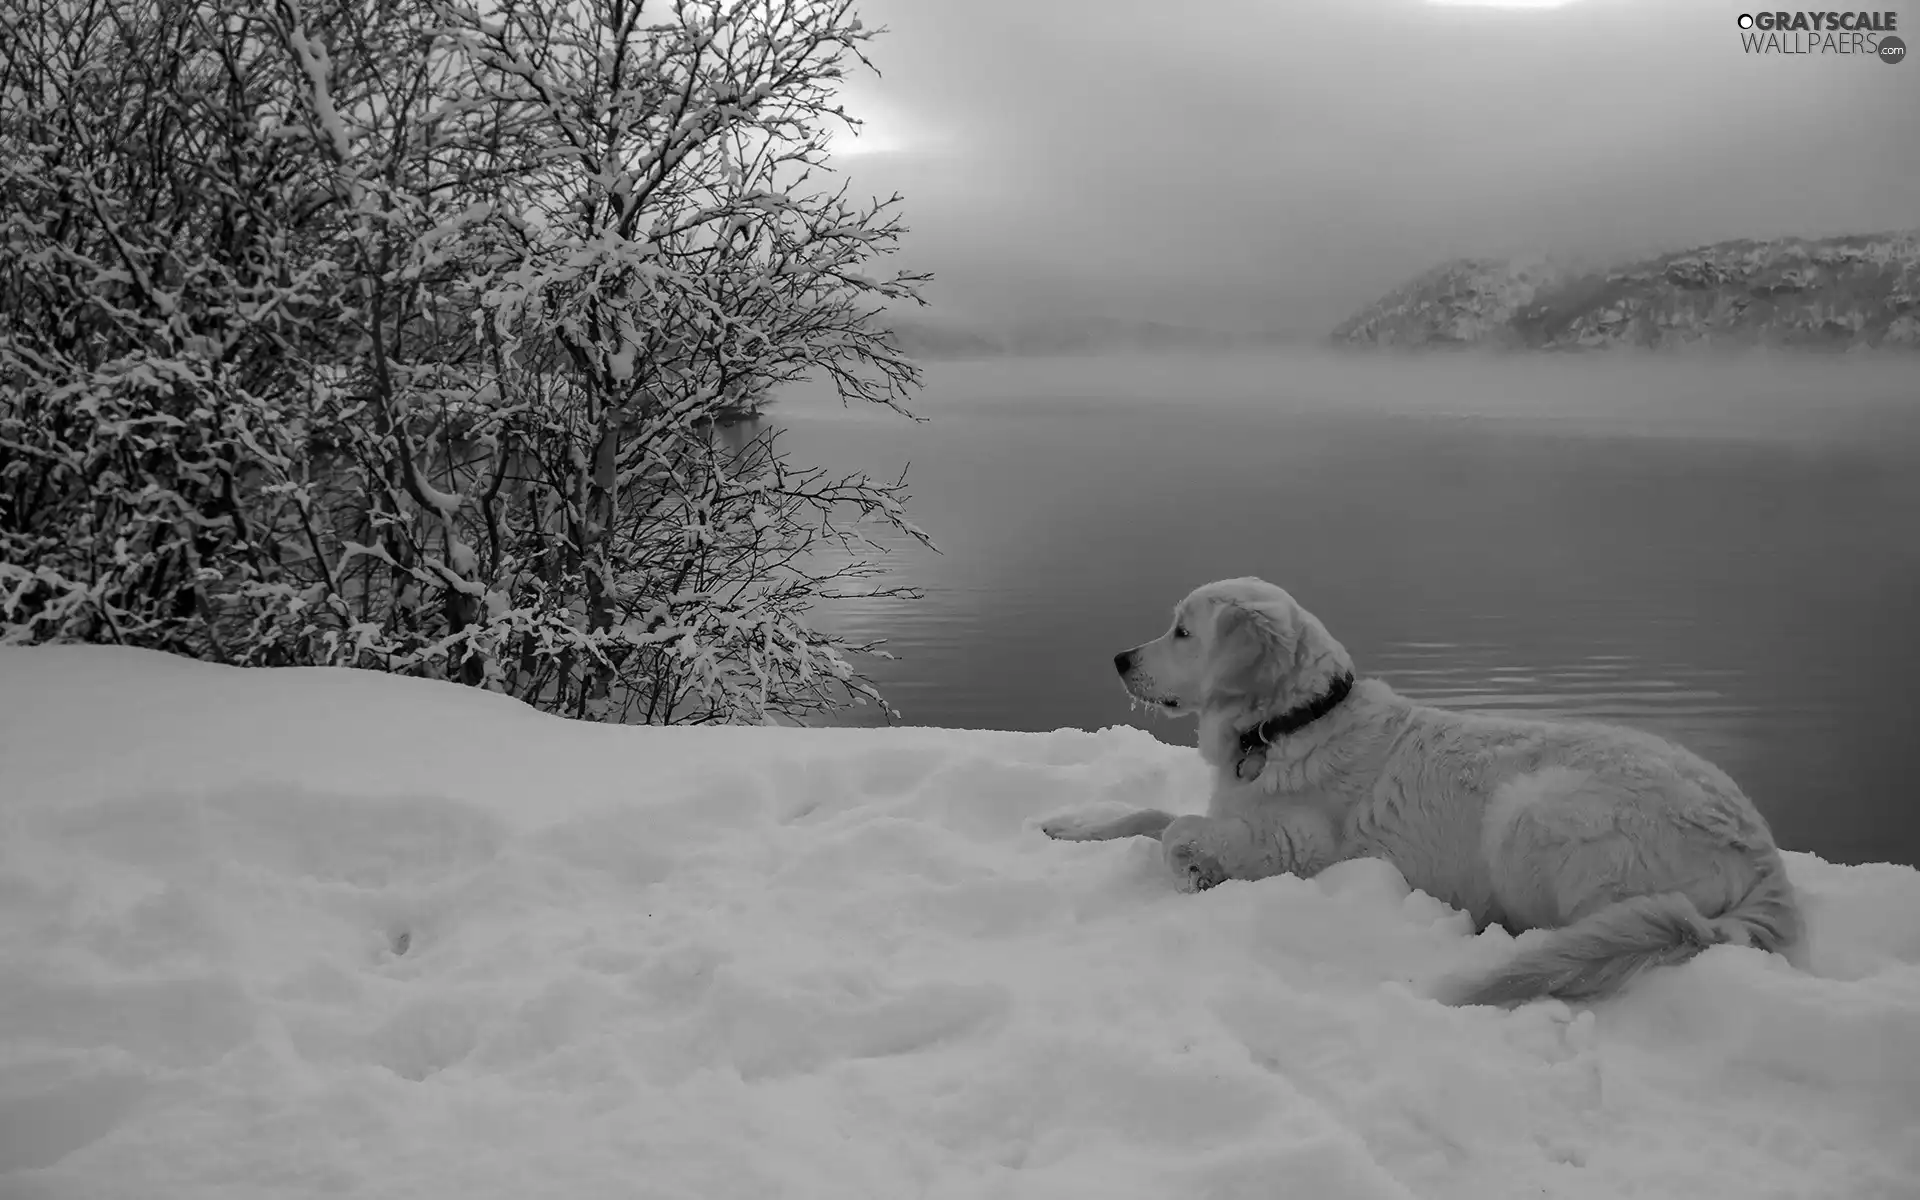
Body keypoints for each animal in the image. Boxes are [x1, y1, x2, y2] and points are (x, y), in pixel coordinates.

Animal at [1036, 576, 1797, 1006]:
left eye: (1183, 631)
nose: (1118, 658)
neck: (1290, 722)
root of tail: (1762, 852)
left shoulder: (1296, 846)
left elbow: (1175, 830)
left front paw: (1194, 872)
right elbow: (1148, 811)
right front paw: (1069, 826)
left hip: (1530, 810)